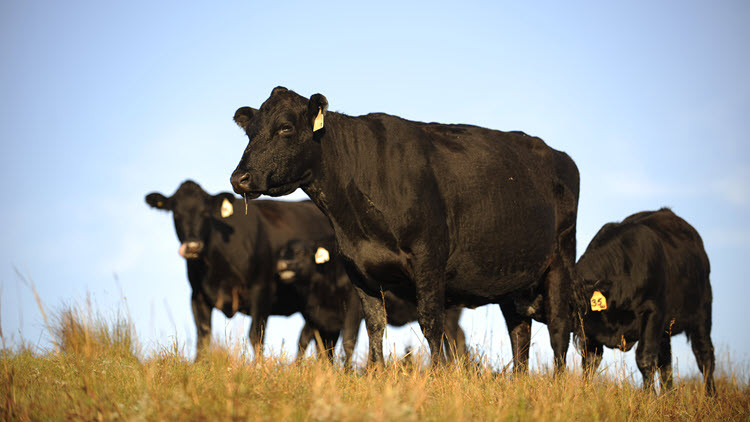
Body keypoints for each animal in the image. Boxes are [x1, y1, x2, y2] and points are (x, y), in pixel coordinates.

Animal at [145, 180, 334, 357]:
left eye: (205, 212)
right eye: (176, 214)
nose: (192, 246)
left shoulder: (262, 289)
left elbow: (256, 336)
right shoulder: (198, 295)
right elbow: (203, 337)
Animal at [276, 237, 467, 366]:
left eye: (300, 252)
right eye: (282, 252)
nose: (282, 265)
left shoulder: (353, 309)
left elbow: (348, 341)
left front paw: (347, 371)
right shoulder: (316, 318)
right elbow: (306, 341)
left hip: (448, 313)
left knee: (453, 339)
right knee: (458, 337)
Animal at [573, 208, 714, 394]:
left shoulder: (653, 313)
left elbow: (645, 358)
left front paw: (648, 396)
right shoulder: (591, 330)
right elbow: (589, 363)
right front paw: (585, 392)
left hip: (702, 313)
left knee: (704, 355)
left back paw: (711, 396)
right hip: (666, 330)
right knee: (666, 363)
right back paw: (667, 396)